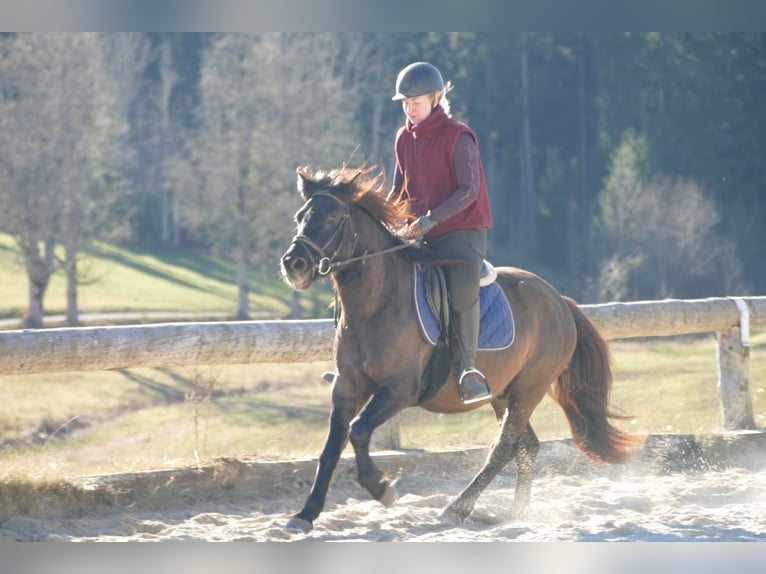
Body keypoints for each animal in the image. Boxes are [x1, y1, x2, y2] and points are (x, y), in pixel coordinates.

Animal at [280, 164, 644, 532]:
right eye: (299, 216)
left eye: (332, 217)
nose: (293, 264)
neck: (376, 303)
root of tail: (561, 301)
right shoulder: (347, 386)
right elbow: (331, 447)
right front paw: (305, 514)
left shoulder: (399, 389)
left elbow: (358, 430)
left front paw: (380, 487)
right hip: (502, 393)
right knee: (525, 446)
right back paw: (516, 514)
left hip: (529, 390)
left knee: (504, 447)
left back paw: (456, 509)